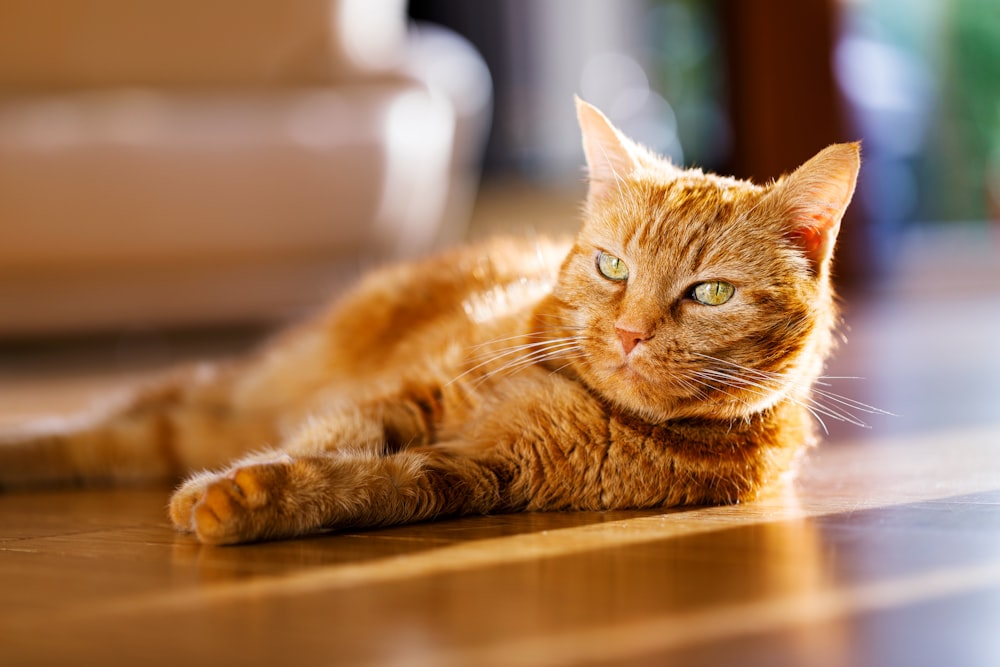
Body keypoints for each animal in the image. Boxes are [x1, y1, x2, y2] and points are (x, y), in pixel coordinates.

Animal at [0, 100, 860, 548]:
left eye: (709, 293)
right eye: (612, 267)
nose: (629, 333)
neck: (587, 400)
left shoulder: (482, 473)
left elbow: (374, 483)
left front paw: (256, 499)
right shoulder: (414, 395)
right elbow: (339, 436)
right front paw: (249, 484)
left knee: (128, 437)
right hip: (243, 388)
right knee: (107, 420)